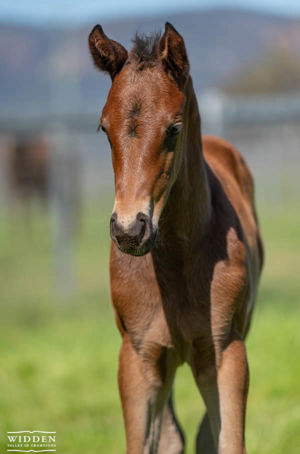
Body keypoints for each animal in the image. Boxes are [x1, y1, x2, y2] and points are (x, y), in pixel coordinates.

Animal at [89, 22, 262, 454]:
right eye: (104, 129)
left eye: (173, 129)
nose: (129, 230)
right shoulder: (138, 355)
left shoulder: (225, 350)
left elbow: (225, 440)